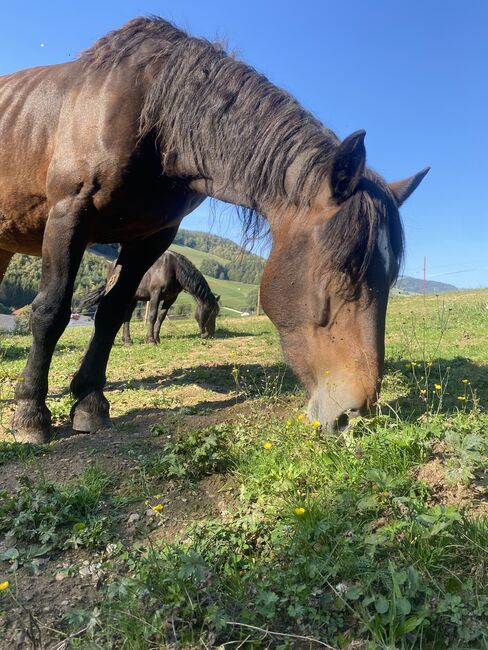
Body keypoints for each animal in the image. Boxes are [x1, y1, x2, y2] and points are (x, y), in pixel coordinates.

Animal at [81, 248, 220, 342]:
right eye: (209, 311)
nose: (210, 335)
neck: (173, 268)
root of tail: (112, 265)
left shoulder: (171, 298)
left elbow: (161, 317)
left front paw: (157, 338)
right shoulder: (155, 295)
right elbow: (152, 316)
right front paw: (151, 340)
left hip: (133, 299)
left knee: (126, 316)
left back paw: (127, 341)